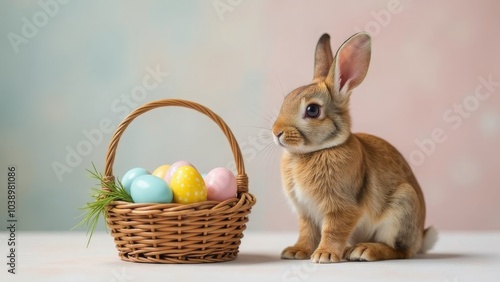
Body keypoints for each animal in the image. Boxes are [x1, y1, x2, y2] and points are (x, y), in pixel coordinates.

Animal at [272, 32, 436, 264]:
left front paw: (324, 255)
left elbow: (332, 231)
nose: (276, 132)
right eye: (286, 100)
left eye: (312, 110)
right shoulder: (306, 212)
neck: (316, 151)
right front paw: (296, 251)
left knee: (400, 250)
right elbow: (306, 232)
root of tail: (420, 239)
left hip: (402, 207)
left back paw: (364, 251)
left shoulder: (341, 208)